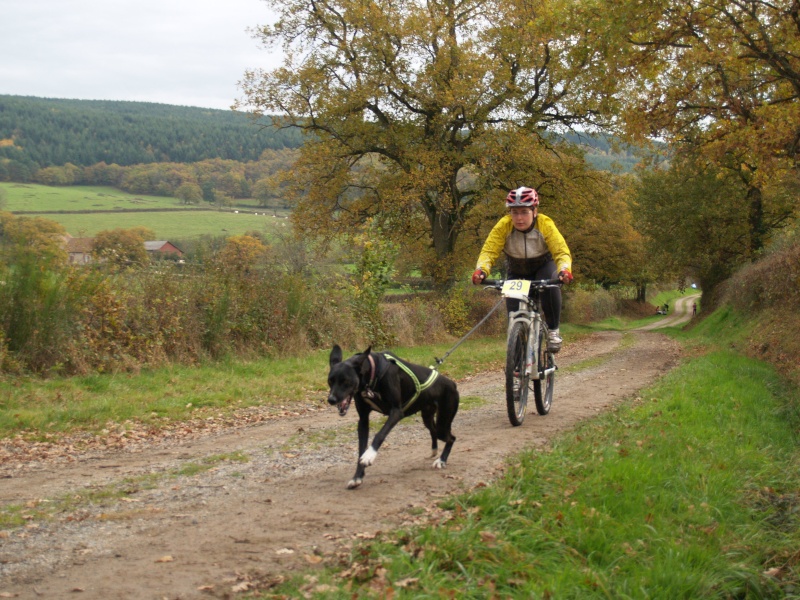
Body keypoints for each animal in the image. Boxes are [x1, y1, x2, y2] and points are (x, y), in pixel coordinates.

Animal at [328, 346, 460, 488]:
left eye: (346, 381)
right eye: (330, 380)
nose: (331, 400)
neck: (373, 373)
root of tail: (452, 383)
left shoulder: (396, 412)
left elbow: (379, 435)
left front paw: (369, 455)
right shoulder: (363, 420)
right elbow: (361, 448)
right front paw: (357, 477)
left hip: (443, 422)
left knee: (451, 438)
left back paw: (441, 460)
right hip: (427, 417)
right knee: (434, 431)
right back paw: (434, 450)